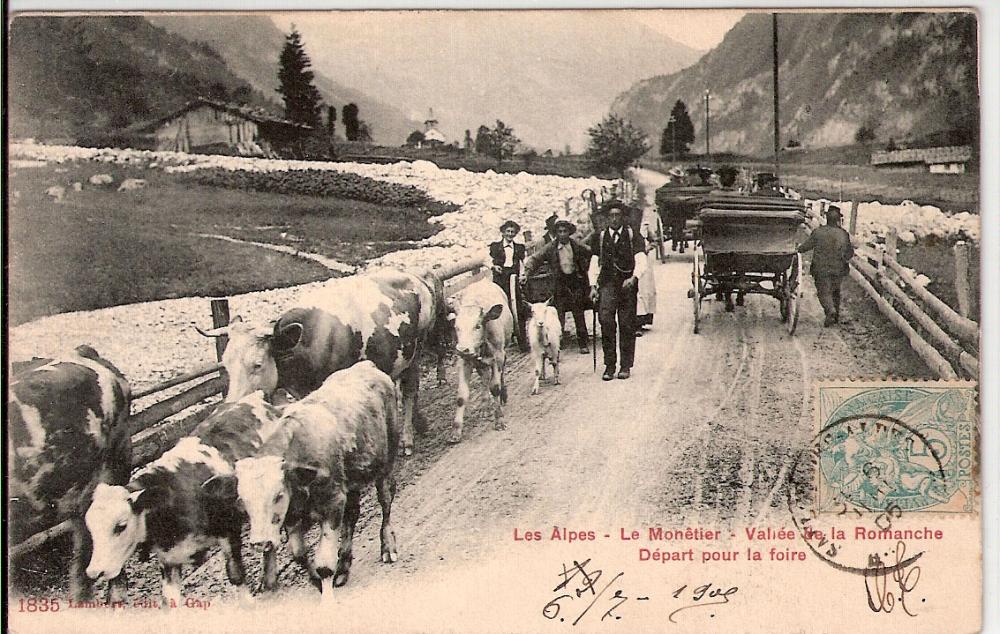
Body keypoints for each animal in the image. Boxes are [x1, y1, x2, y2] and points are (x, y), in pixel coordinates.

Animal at [83, 390, 282, 604]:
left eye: (121, 526)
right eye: (90, 529)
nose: (95, 572)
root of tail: (255, 398)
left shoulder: (229, 530)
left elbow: (235, 574)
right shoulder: (168, 559)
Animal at [199, 266, 450, 454]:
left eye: (257, 364)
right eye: (226, 366)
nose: (230, 409)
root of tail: (415, 276)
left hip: (415, 350)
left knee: (409, 392)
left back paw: (408, 438)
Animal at [236, 358, 400, 596]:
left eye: (278, 495)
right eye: (244, 502)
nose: (260, 542)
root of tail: (366, 366)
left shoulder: (333, 503)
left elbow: (324, 564)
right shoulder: (293, 516)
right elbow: (298, 553)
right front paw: (315, 579)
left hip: (386, 462)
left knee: (386, 501)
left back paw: (387, 546)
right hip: (351, 482)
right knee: (352, 515)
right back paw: (344, 566)